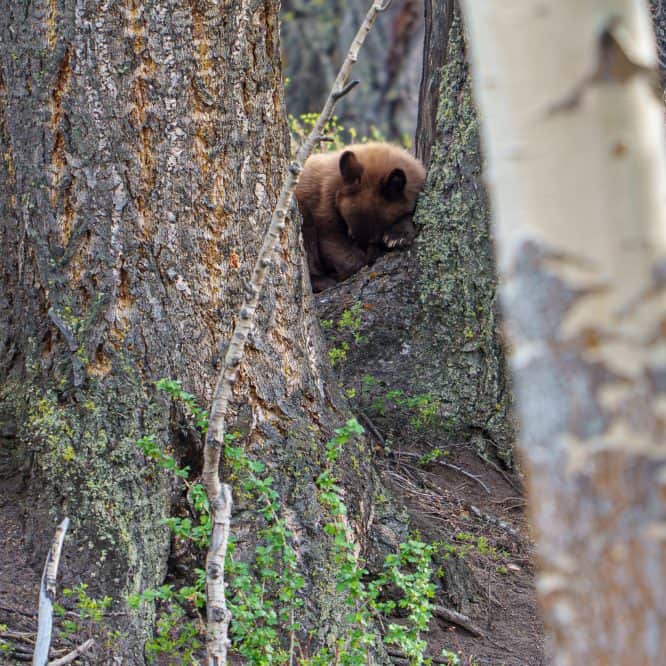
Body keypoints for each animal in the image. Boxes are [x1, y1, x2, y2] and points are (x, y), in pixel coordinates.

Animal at [295, 142, 426, 292]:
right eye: (351, 236)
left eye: (374, 239)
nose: (369, 251)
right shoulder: (324, 203)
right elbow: (333, 241)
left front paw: (397, 236)